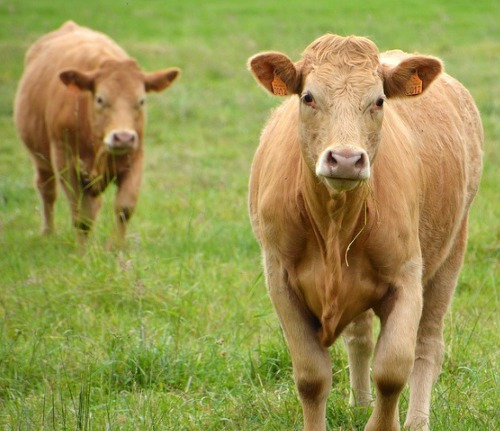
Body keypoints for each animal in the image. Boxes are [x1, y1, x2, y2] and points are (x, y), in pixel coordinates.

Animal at [13, 20, 182, 241]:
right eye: (100, 99)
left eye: (141, 101)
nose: (123, 137)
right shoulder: (65, 162)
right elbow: (82, 218)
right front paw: (83, 251)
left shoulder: (135, 157)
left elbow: (124, 208)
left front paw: (115, 247)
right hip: (41, 159)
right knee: (47, 190)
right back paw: (48, 233)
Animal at [248, 34, 482, 431]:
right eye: (308, 97)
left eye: (379, 100)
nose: (345, 158)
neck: (334, 221)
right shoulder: (279, 278)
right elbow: (312, 377)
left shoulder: (407, 275)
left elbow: (392, 369)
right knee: (360, 338)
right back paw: (359, 404)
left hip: (451, 253)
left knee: (427, 345)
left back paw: (416, 421)